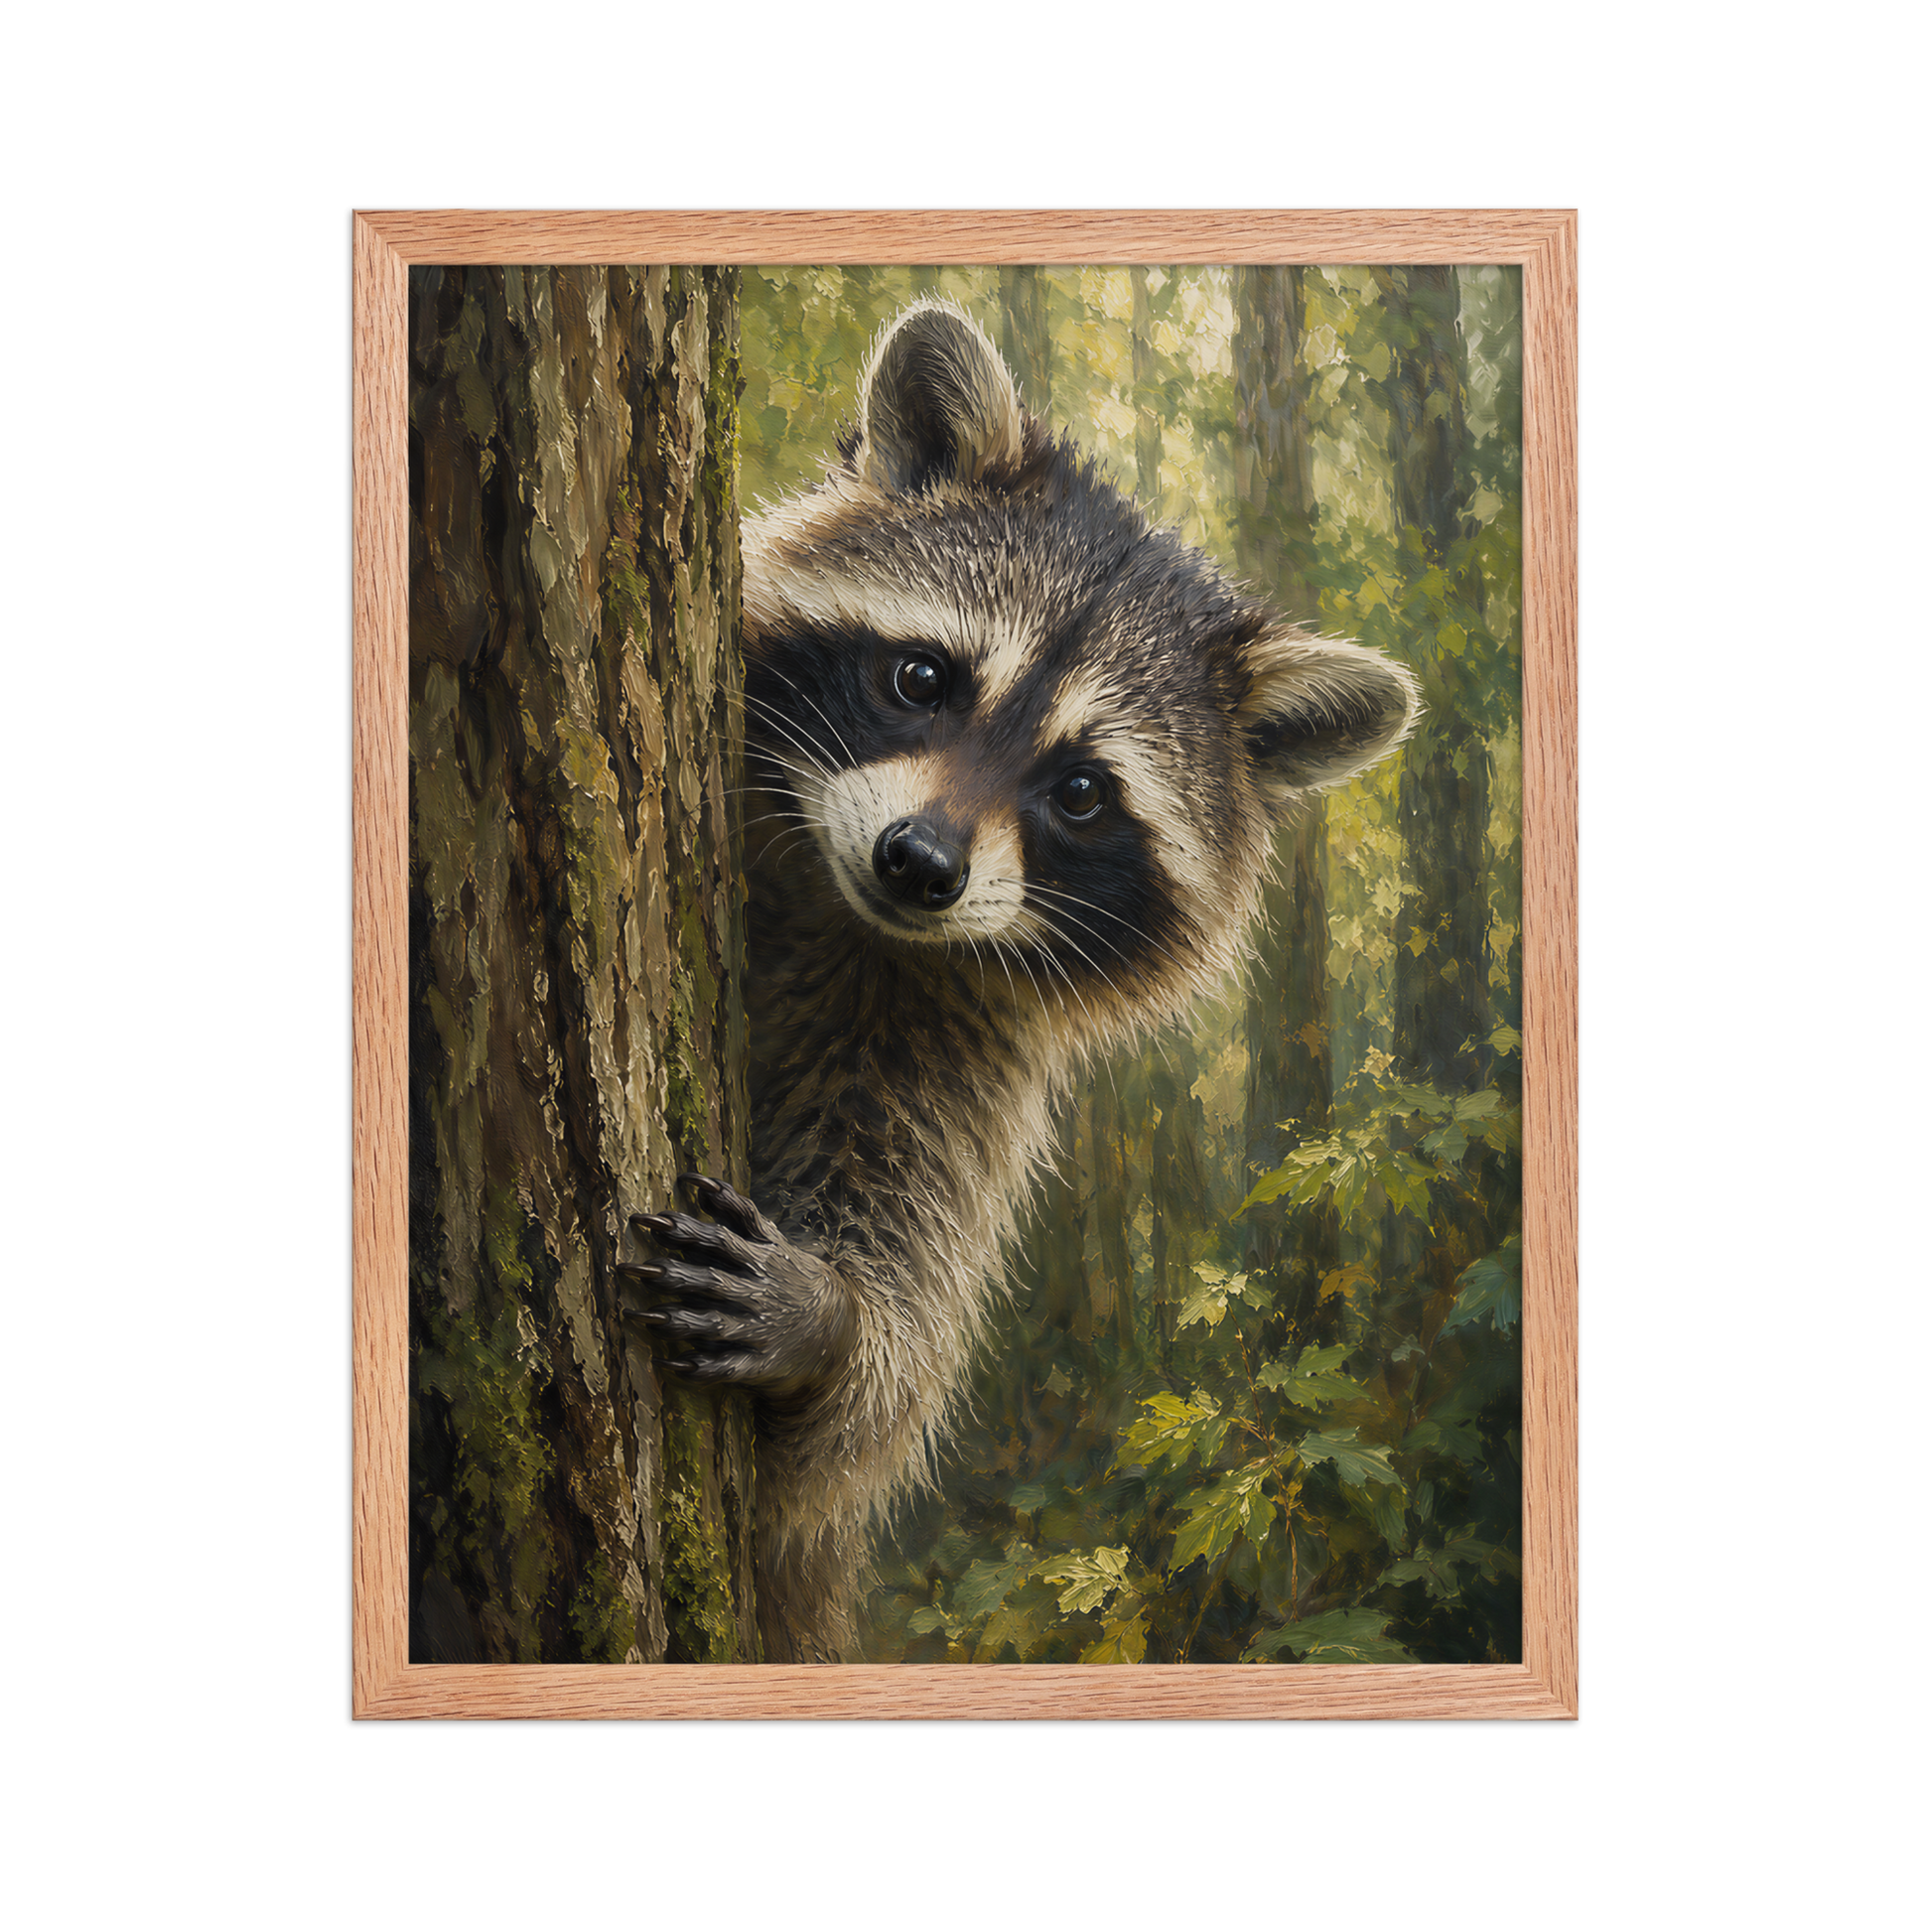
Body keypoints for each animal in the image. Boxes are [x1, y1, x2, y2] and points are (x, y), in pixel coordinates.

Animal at [621, 298, 1419, 1662]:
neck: (842, 913)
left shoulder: (955, 1053)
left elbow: (863, 1408)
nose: (920, 863)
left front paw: (834, 1325)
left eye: (1082, 791)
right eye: (922, 677)